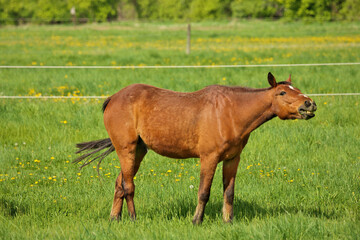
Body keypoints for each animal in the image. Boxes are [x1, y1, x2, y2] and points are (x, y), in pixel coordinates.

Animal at [74, 72, 316, 224]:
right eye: (283, 93)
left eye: (297, 89)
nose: (309, 104)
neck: (231, 112)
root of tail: (114, 98)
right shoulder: (208, 158)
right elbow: (203, 192)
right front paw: (196, 220)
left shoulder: (232, 159)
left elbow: (229, 193)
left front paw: (228, 221)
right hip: (127, 149)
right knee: (128, 186)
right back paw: (133, 219)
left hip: (139, 151)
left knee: (120, 184)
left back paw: (115, 218)